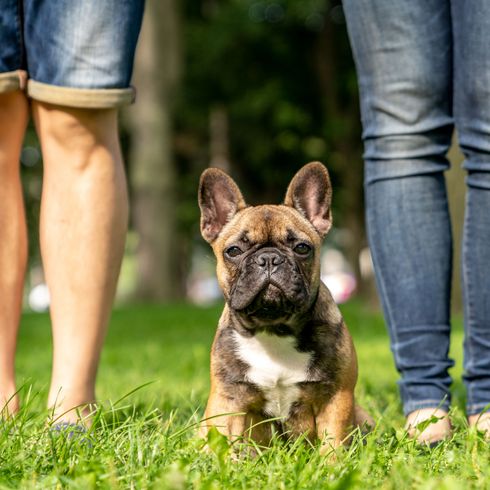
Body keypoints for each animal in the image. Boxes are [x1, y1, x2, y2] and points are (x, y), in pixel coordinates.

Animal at [197, 163, 370, 454]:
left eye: (302, 248)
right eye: (233, 250)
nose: (268, 258)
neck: (273, 328)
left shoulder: (336, 398)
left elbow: (332, 443)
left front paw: (331, 464)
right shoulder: (228, 400)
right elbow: (225, 443)